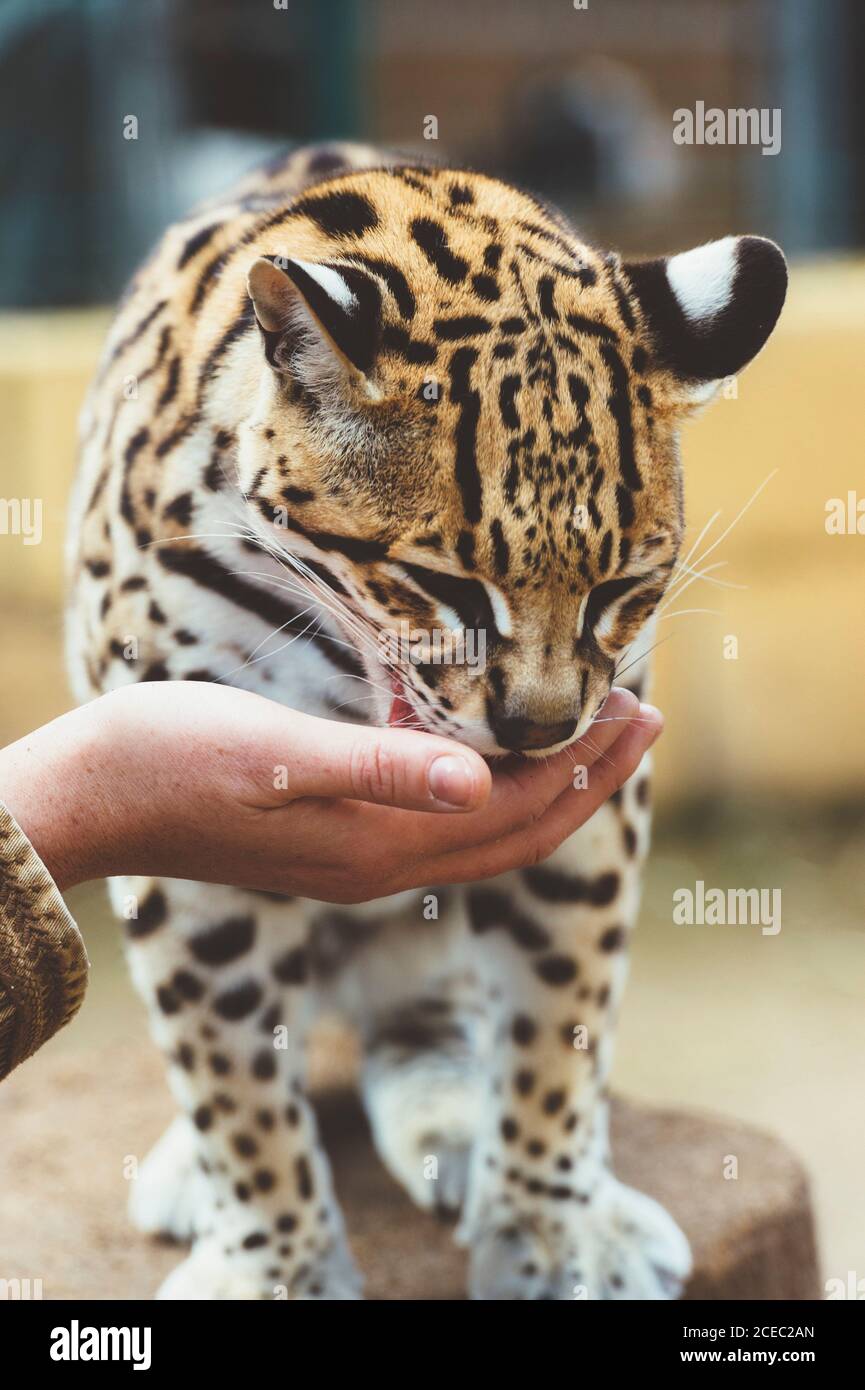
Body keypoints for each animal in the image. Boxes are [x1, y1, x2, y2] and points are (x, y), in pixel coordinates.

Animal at [66, 141, 787, 1300]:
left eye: (616, 588)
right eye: (442, 587)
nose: (539, 729)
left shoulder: (593, 809)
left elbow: (560, 1011)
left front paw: (550, 1226)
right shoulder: (188, 847)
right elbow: (229, 1067)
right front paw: (277, 1263)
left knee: (432, 1010)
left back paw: (456, 1117)